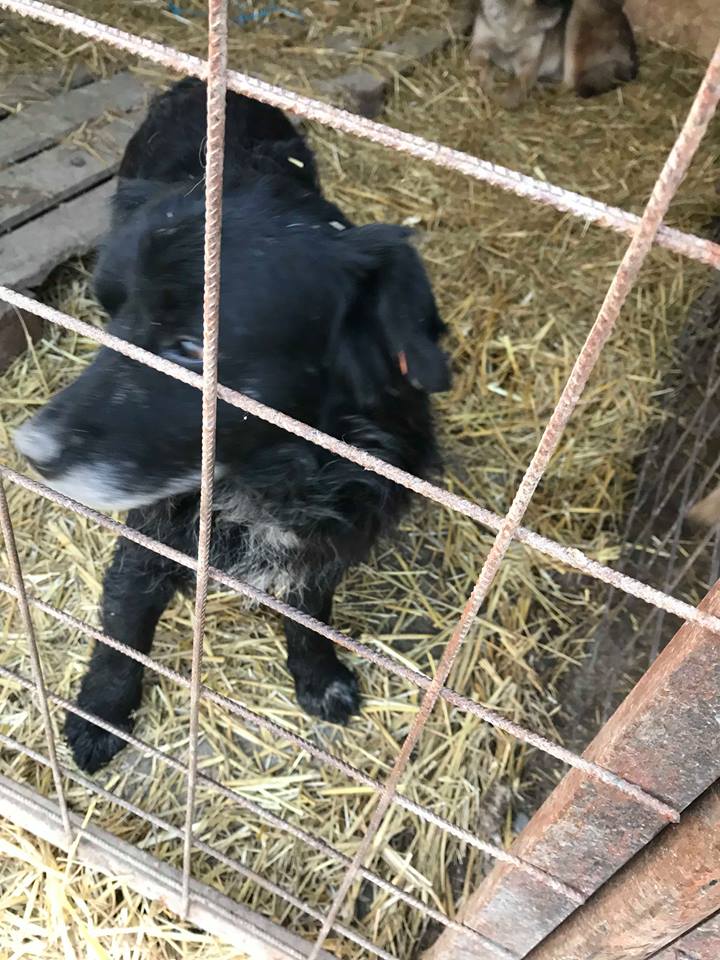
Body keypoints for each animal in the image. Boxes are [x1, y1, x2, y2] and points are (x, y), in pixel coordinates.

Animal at [14, 79, 450, 776]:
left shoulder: (327, 539)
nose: (29, 448)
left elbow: (310, 613)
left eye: (193, 347)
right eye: (109, 317)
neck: (268, 476)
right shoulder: (150, 534)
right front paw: (101, 712)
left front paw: (318, 675)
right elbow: (122, 628)